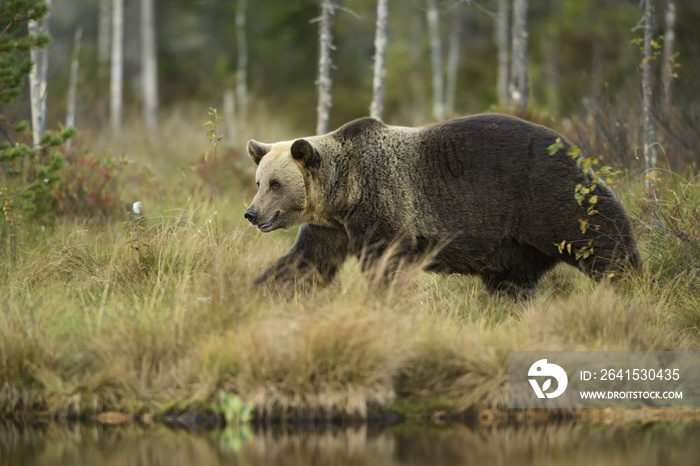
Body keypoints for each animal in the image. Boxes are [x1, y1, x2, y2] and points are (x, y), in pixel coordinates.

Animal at [245, 113, 640, 294]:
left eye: (276, 184)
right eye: (259, 182)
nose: (252, 213)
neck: (345, 192)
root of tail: (576, 149)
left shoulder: (383, 205)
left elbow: (385, 261)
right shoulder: (332, 226)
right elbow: (306, 262)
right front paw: (262, 289)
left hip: (548, 194)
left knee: (602, 239)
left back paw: (630, 281)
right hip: (516, 245)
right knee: (511, 283)